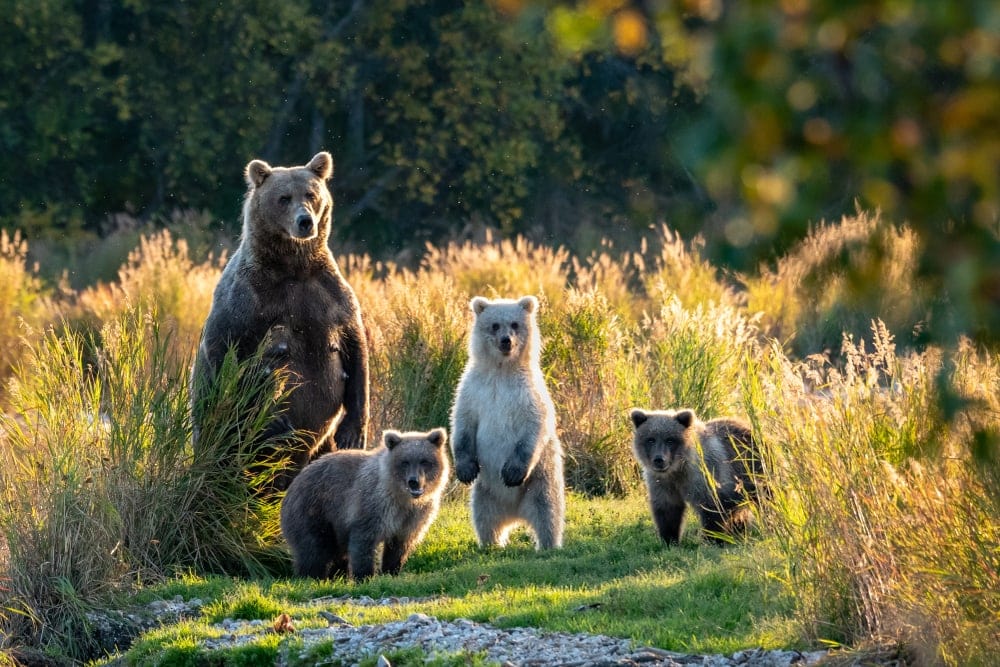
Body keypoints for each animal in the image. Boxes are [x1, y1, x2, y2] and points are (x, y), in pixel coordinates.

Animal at [191, 151, 369, 490]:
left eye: (311, 194)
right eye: (283, 198)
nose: (305, 221)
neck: (293, 267)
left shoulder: (330, 296)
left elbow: (356, 349)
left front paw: (352, 431)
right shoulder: (248, 302)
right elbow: (230, 354)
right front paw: (275, 421)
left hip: (319, 448)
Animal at [279, 427, 449, 580]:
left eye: (424, 461)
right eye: (405, 462)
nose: (414, 481)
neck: (402, 497)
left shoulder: (414, 516)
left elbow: (399, 546)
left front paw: (391, 571)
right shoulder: (374, 505)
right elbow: (364, 541)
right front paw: (365, 576)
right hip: (313, 510)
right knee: (314, 549)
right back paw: (312, 577)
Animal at [450, 295, 565, 550]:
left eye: (514, 324)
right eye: (494, 325)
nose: (506, 341)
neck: (501, 371)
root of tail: (515, 514)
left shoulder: (528, 393)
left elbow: (534, 426)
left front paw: (511, 472)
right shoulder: (473, 390)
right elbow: (462, 424)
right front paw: (465, 469)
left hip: (540, 480)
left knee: (548, 511)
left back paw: (547, 544)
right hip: (486, 492)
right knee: (484, 517)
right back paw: (492, 543)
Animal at [629, 408, 763, 544]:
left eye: (670, 440)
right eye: (650, 439)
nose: (659, 460)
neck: (677, 470)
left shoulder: (704, 475)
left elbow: (711, 508)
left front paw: (712, 539)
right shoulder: (661, 482)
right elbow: (668, 509)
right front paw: (669, 539)